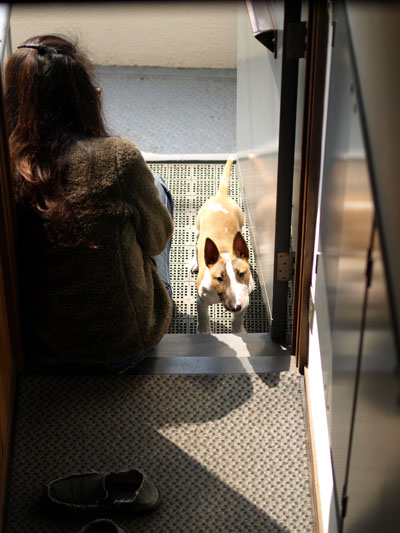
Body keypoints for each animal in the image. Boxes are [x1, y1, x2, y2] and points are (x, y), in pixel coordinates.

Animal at [190, 158, 253, 332]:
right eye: (219, 278)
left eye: (241, 274)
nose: (235, 306)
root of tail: (221, 196)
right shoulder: (201, 300)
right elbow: (203, 318)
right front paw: (203, 332)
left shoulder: (245, 299)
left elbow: (238, 320)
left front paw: (239, 331)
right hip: (198, 229)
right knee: (196, 247)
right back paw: (194, 262)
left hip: (241, 225)